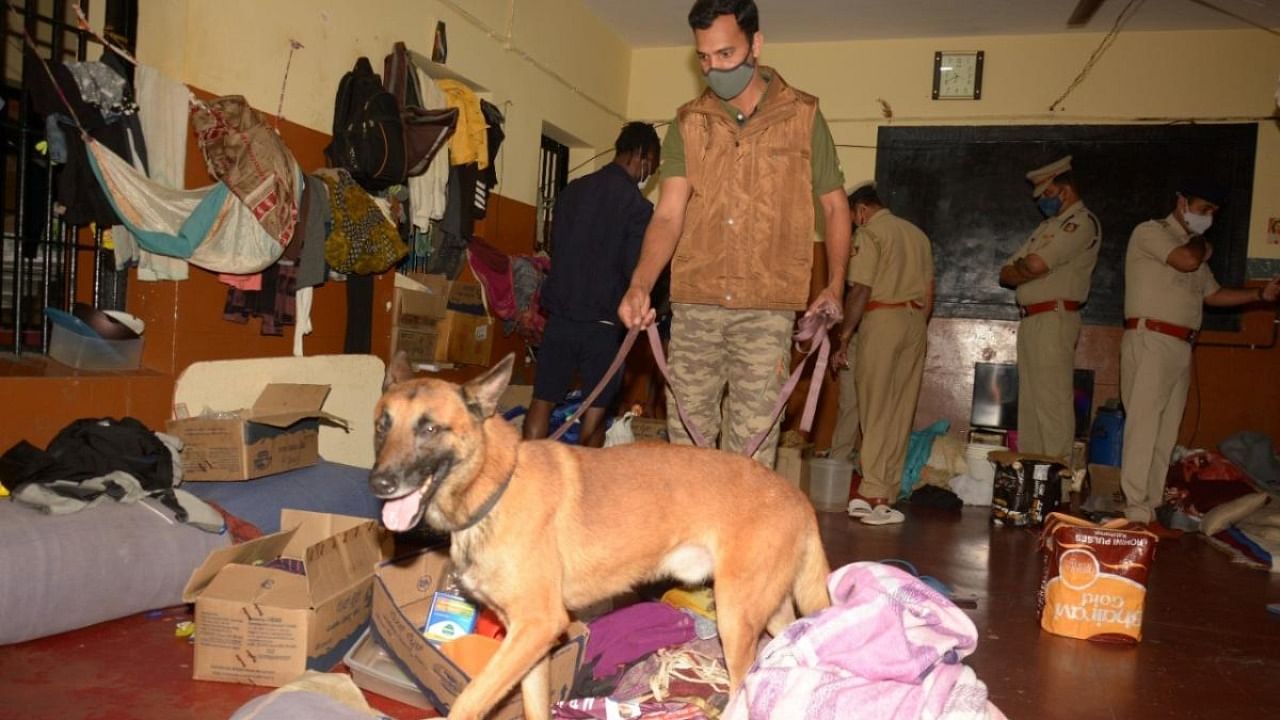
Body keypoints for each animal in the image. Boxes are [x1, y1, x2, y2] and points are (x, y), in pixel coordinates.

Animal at [371, 353, 829, 717]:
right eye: (382, 426)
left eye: (430, 430)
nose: (379, 483)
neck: (496, 485)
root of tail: (797, 496)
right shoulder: (531, 642)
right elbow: (534, 706)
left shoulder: (536, 626)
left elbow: (468, 699)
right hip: (766, 609)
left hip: (735, 619)